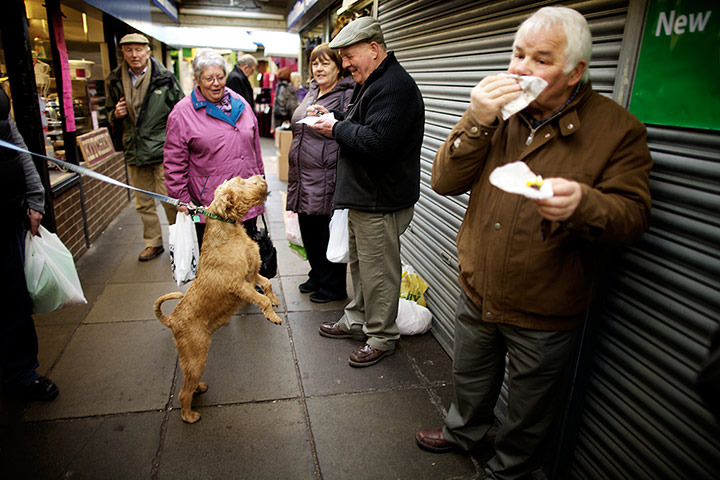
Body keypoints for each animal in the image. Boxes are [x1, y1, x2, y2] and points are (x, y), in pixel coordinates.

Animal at [153, 176, 282, 424]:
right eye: (241, 182)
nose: (261, 177)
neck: (228, 229)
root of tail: (172, 320)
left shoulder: (252, 276)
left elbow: (267, 286)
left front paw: (275, 302)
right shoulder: (240, 285)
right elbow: (261, 300)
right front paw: (273, 316)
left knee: (189, 384)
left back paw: (199, 389)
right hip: (196, 356)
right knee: (183, 392)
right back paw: (189, 415)